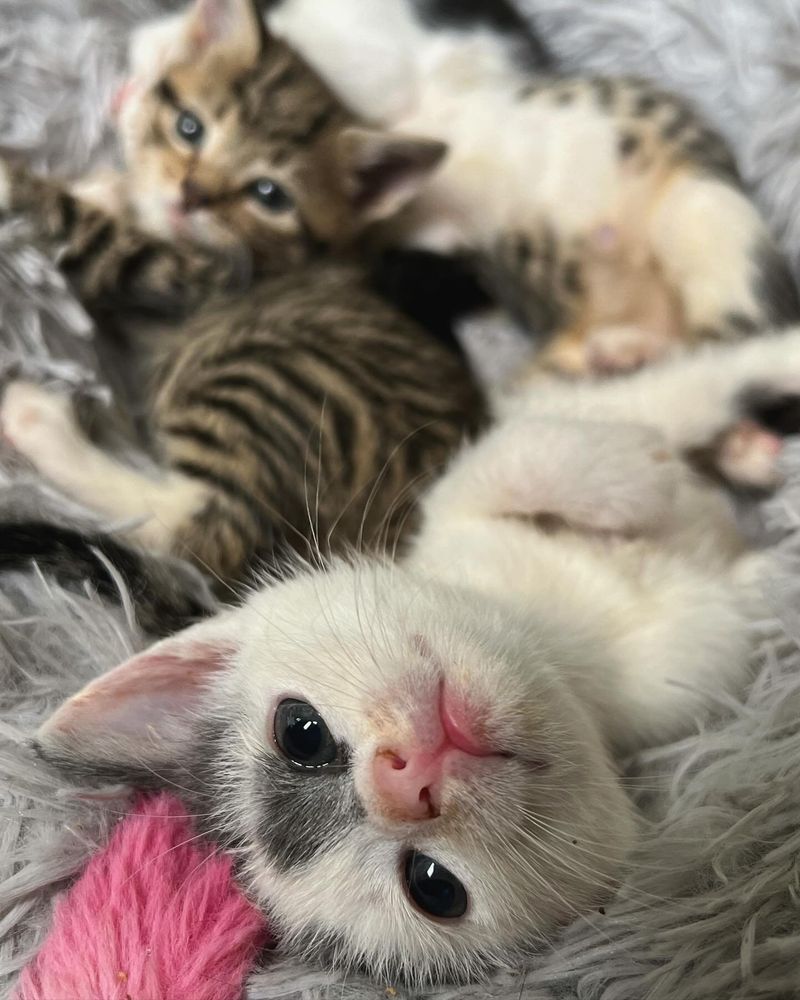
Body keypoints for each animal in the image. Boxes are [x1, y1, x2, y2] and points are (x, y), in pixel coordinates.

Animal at [0, 0, 482, 592]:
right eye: (189, 127)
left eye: (268, 194)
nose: (191, 194)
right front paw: (110, 186)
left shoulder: (183, 276)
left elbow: (89, 231)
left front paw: (18, 181)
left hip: (265, 378)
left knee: (201, 531)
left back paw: (39, 423)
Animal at [32, 330, 800, 984]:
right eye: (432, 886)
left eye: (301, 733)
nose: (406, 778)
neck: (573, 649)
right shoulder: (700, 668)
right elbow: (755, 592)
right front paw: (772, 551)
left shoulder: (465, 517)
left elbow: (533, 451)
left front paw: (630, 469)